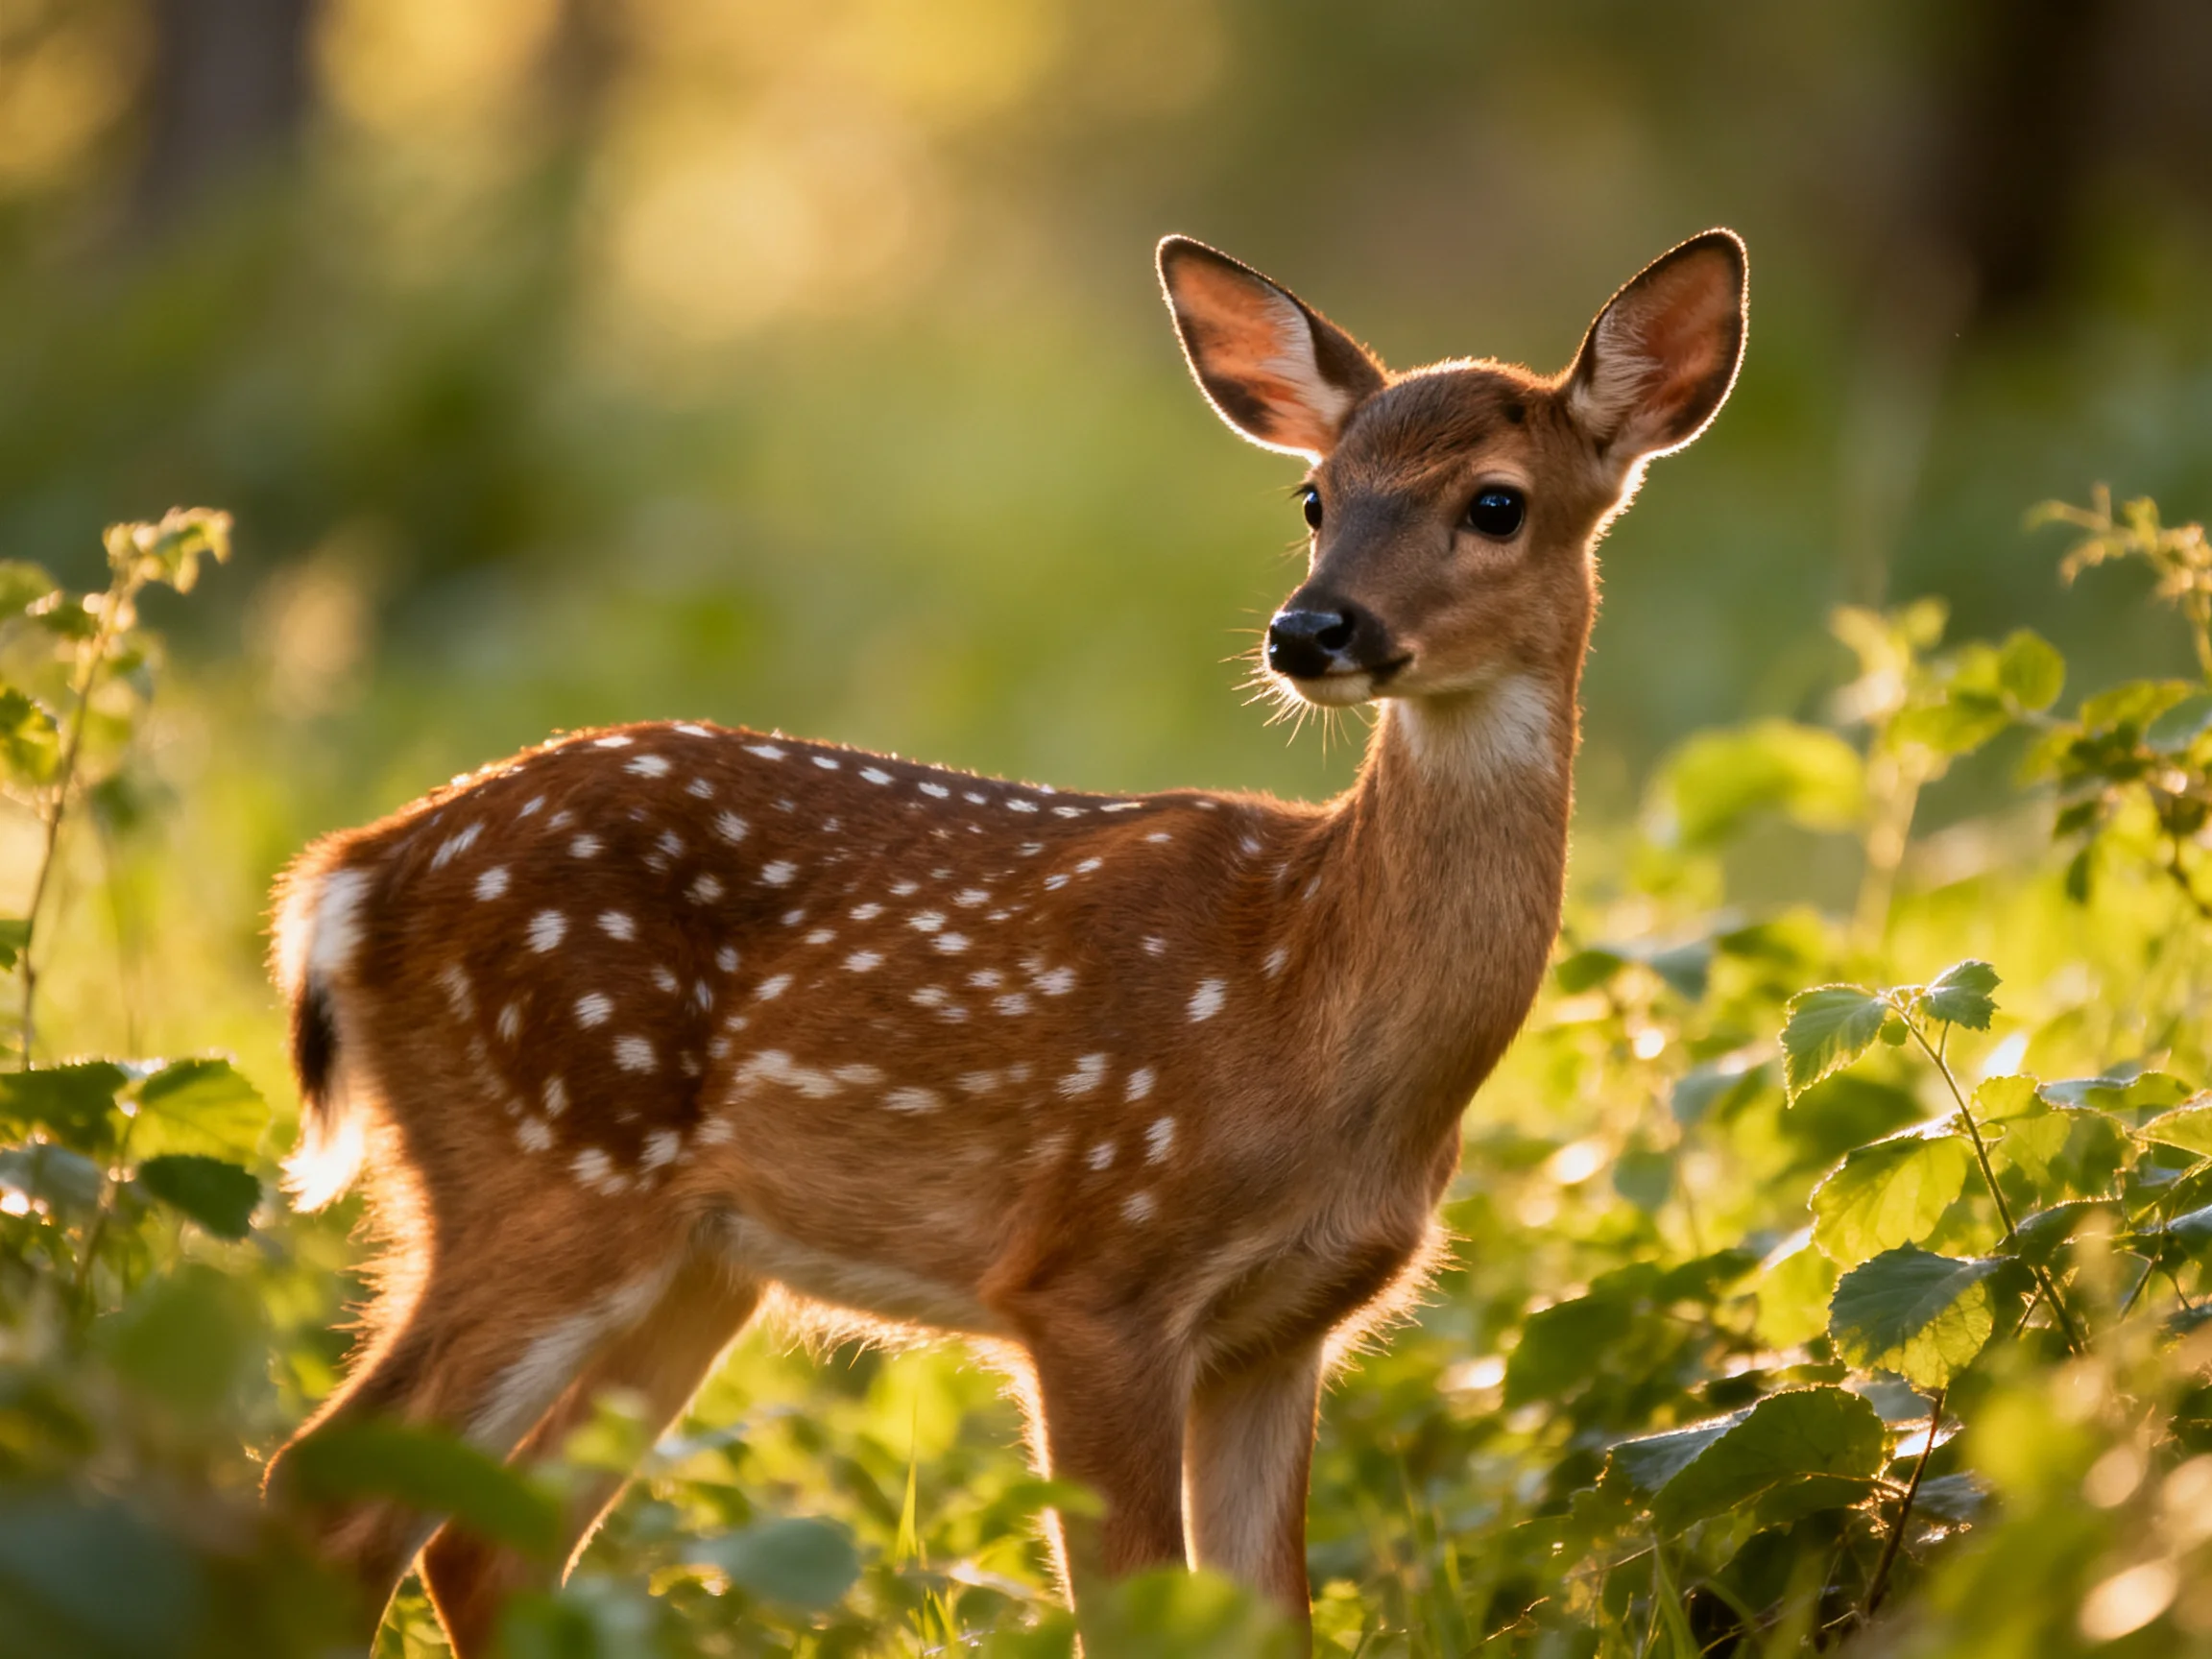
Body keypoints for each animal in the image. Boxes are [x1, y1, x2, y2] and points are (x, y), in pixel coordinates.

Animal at [263, 227, 1746, 1653]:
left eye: (1496, 502)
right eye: (1316, 497)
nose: (1311, 628)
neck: (1309, 1009)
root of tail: (353, 873)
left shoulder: (1284, 1329)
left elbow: (1268, 1620)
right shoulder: (1089, 1276)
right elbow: (1134, 1617)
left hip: (691, 1258)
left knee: (482, 1538)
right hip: (547, 1159)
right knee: (326, 1492)